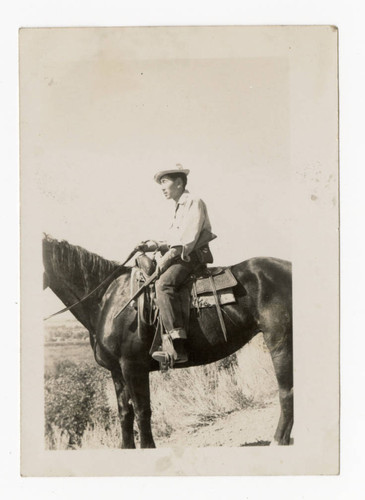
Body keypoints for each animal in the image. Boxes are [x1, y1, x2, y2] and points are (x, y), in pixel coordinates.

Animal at [42, 236, 292, 448]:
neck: (106, 299)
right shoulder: (116, 370)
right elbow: (125, 413)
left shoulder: (133, 366)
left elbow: (142, 411)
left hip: (279, 341)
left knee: (286, 391)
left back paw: (278, 440)